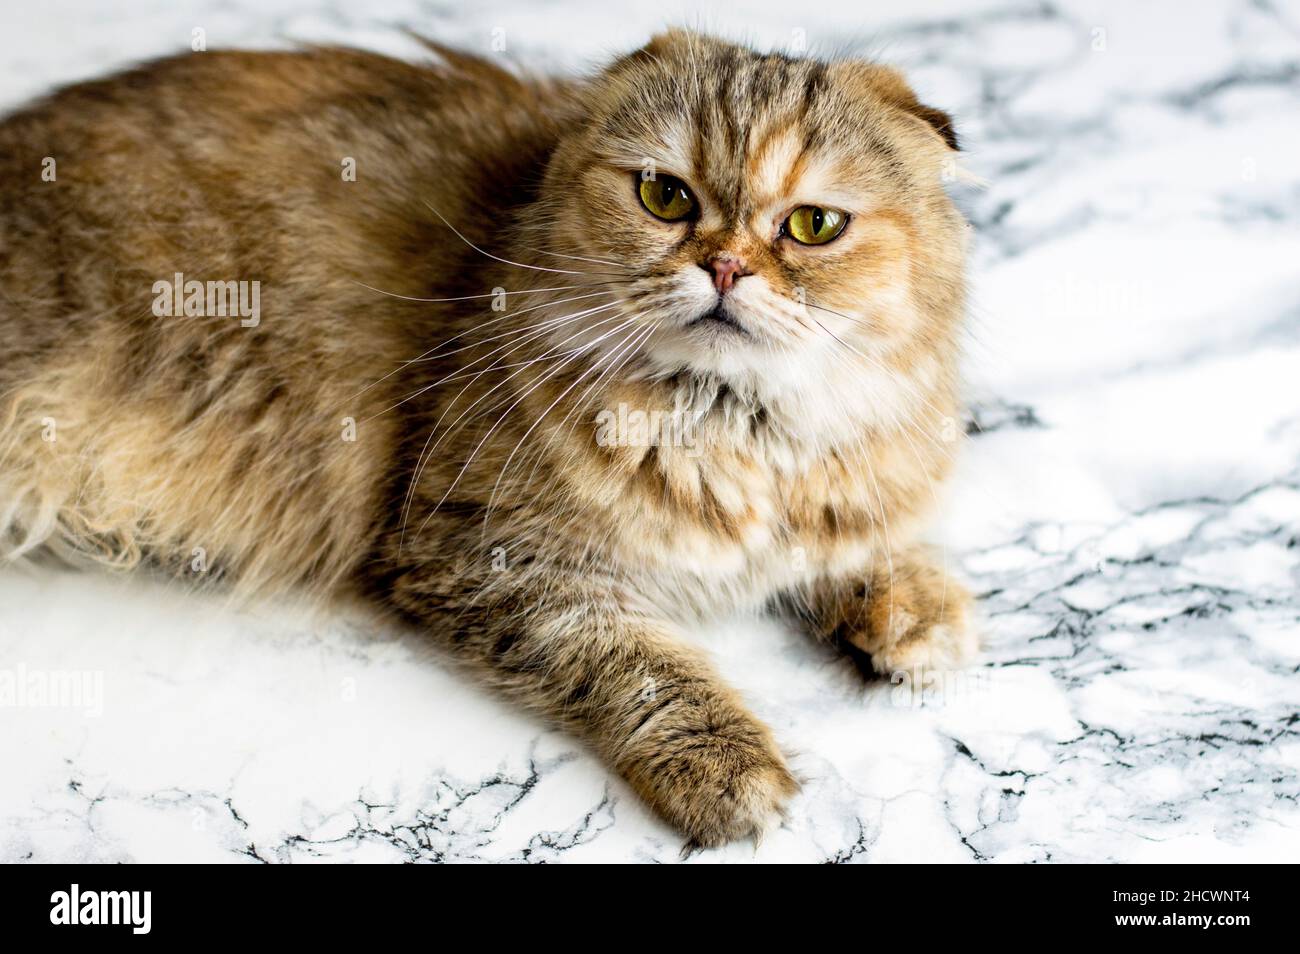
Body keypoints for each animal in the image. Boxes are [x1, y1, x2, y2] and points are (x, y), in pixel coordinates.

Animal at [0, 31, 977, 852]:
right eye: (666, 197)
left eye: (813, 226)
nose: (726, 268)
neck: (729, 425)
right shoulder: (486, 553)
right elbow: (646, 669)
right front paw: (729, 769)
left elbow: (866, 547)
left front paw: (917, 617)